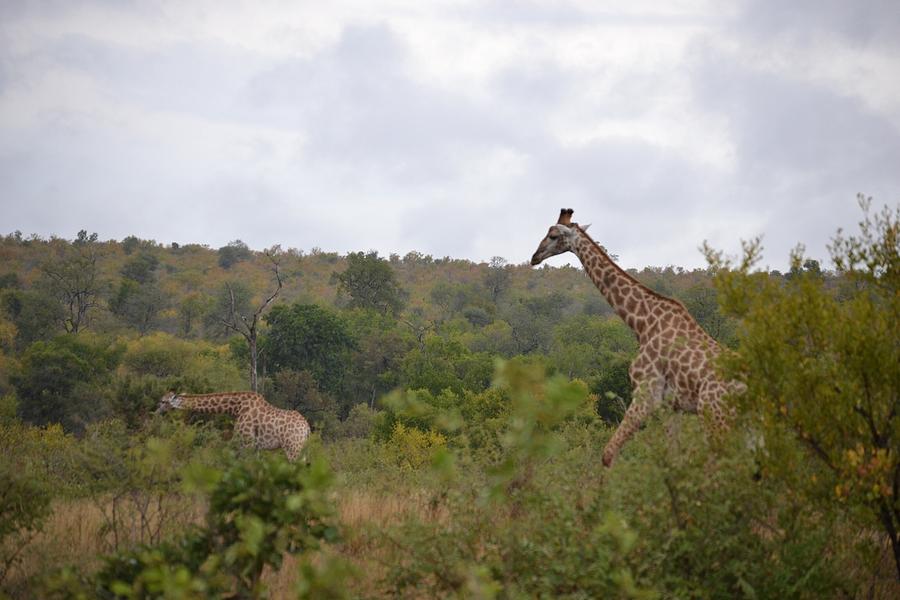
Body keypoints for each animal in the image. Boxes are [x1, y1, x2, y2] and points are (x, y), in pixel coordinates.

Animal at [155, 392, 310, 462]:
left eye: (163, 401)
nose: (156, 412)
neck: (236, 408)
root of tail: (306, 428)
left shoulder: (246, 443)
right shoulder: (254, 447)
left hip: (292, 447)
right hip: (300, 448)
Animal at [532, 209, 740, 466]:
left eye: (552, 235)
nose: (534, 257)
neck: (642, 323)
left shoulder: (646, 394)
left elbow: (608, 454)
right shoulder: (672, 406)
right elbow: (674, 459)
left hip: (716, 415)